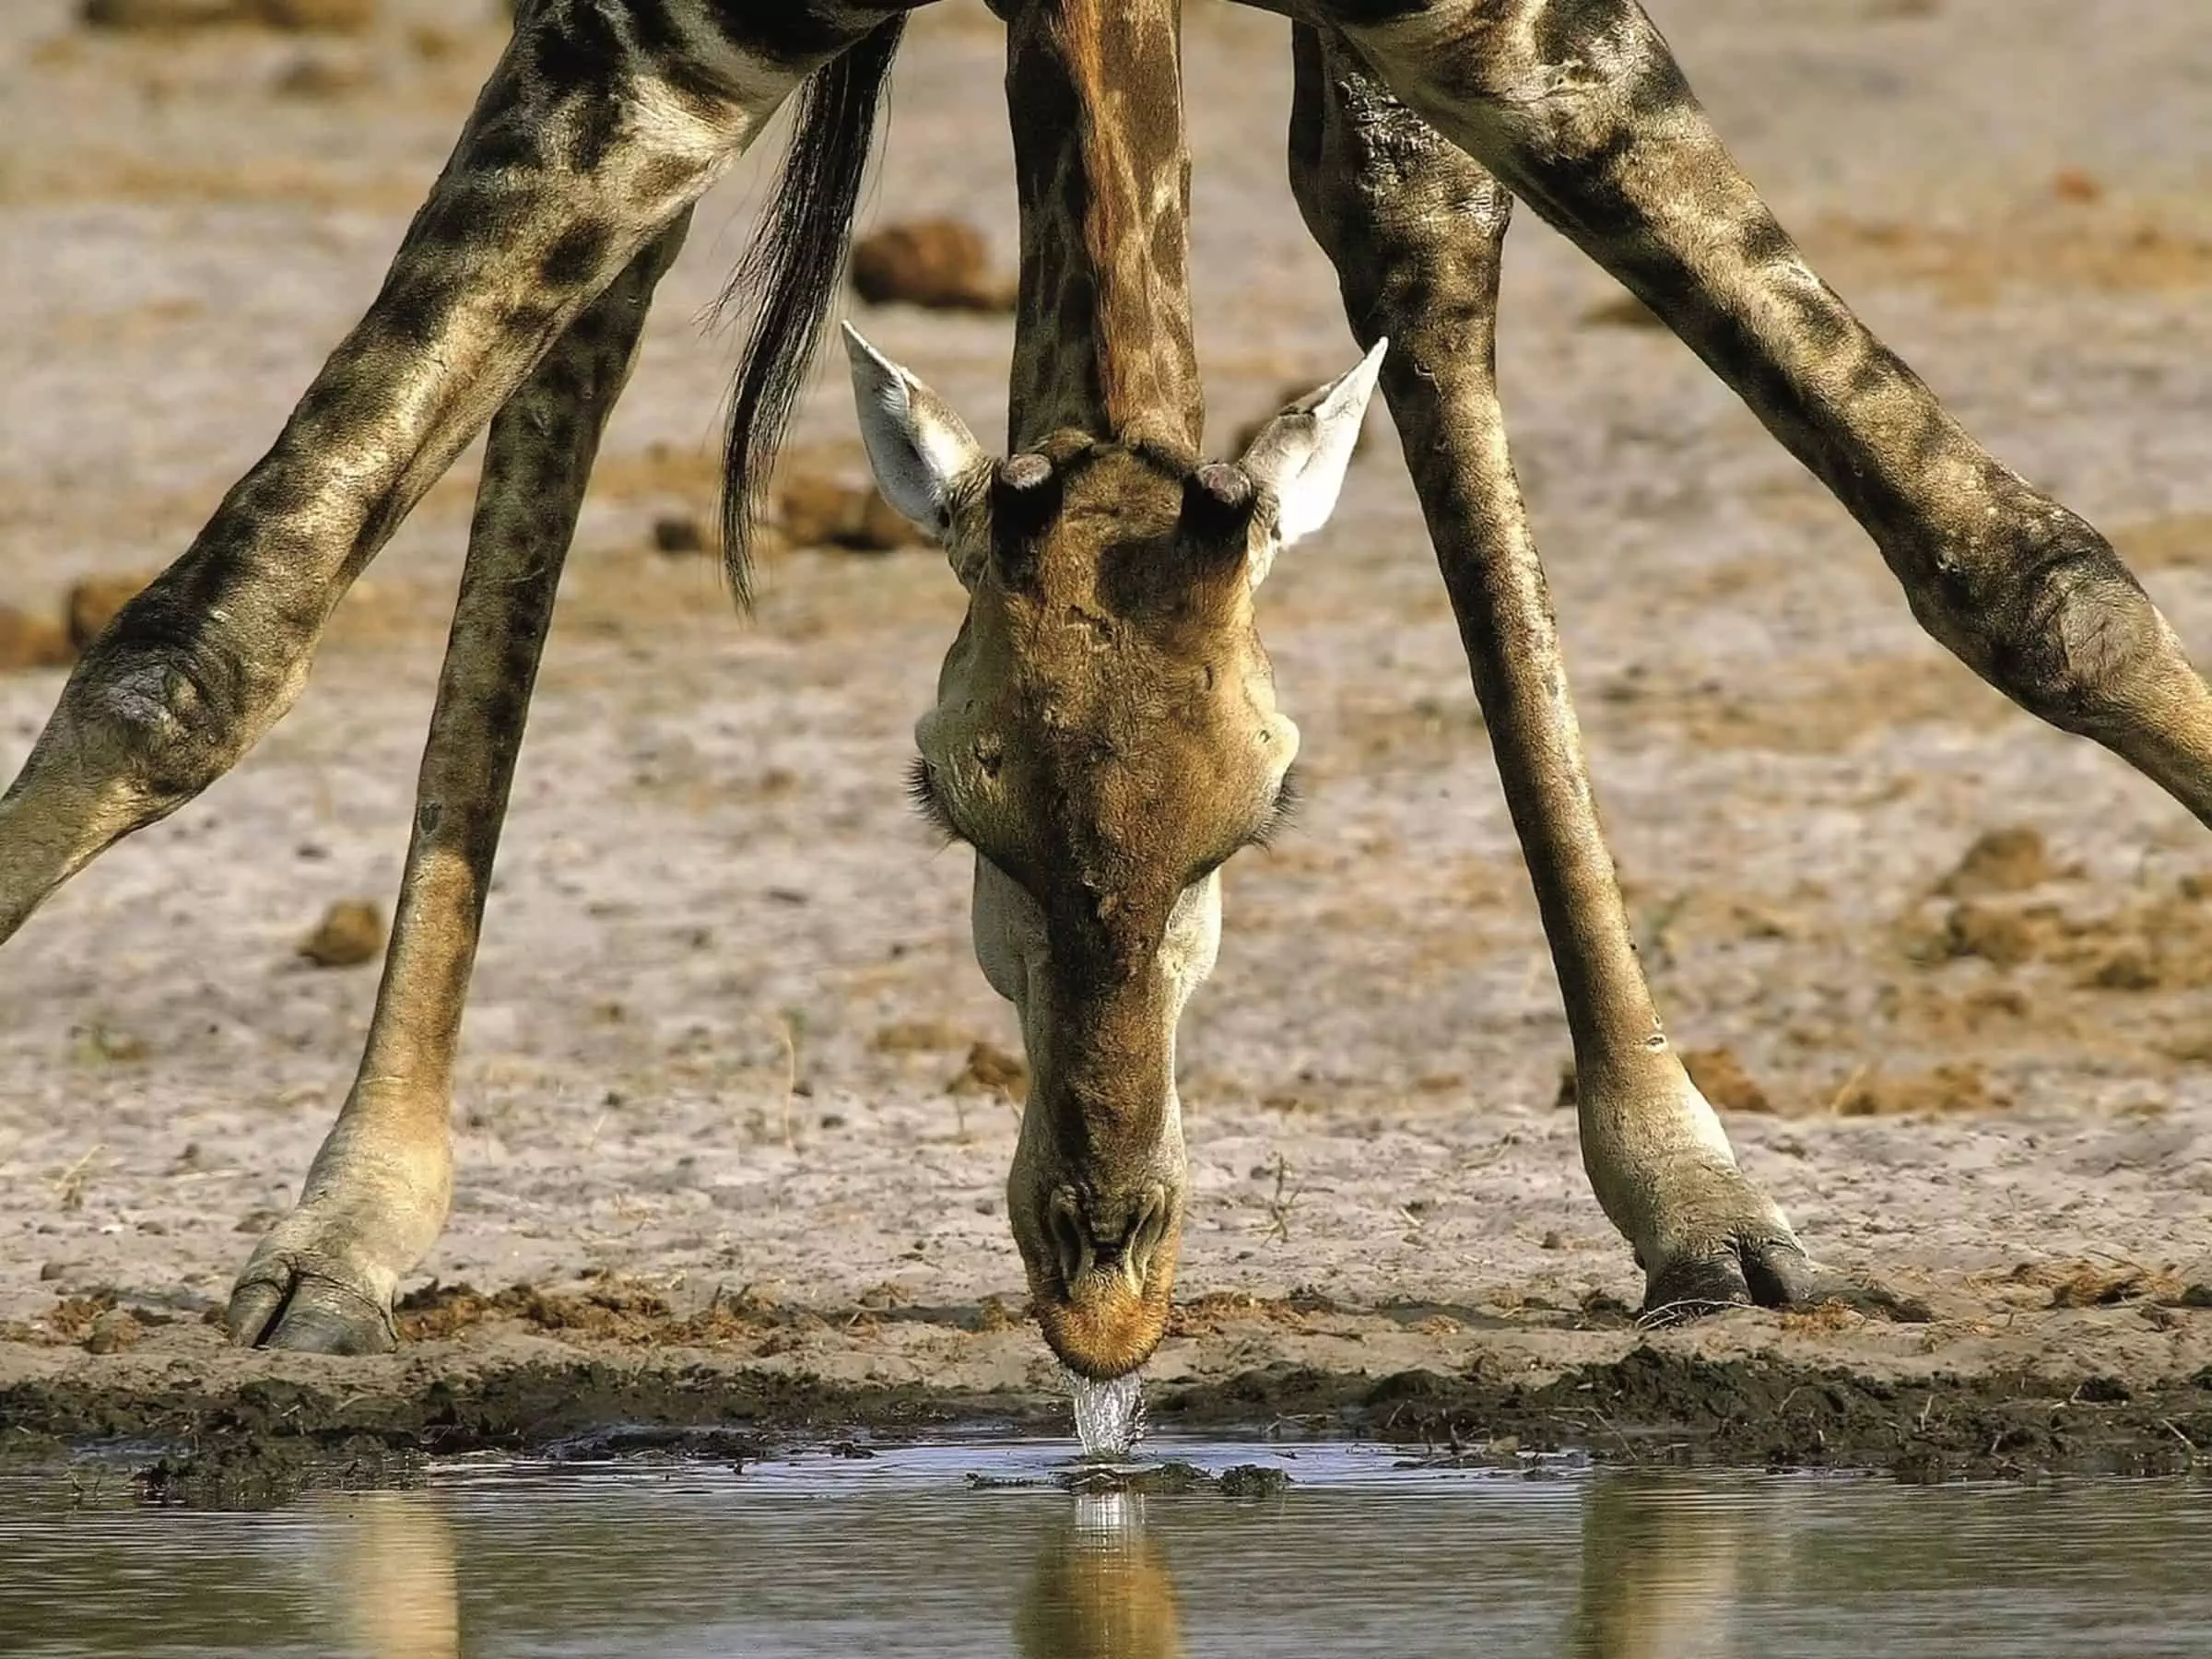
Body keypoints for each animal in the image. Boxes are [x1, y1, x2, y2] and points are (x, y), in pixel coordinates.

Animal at [0, 3, 2203, 1380]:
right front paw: (340, 1229)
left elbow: (2007, 558)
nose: (1107, 1309)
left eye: (1258, 822)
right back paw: (348, 1221)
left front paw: (1692, 1191)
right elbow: (211, 628)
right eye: (951, 808)